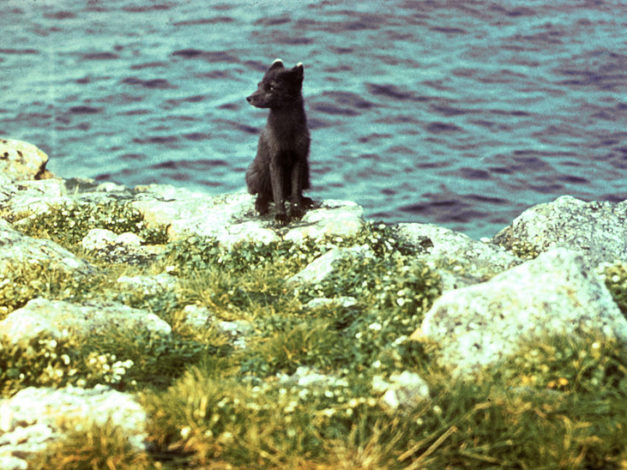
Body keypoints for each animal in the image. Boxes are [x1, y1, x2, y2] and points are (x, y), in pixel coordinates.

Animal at [245, 58, 313, 223]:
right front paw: (281, 216)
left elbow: (295, 191)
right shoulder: (275, 161)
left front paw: (296, 212)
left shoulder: (299, 159)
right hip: (256, 173)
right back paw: (260, 205)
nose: (248, 98)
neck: (287, 133)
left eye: (271, 87)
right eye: (259, 84)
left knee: (293, 192)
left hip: (306, 171)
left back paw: (306, 201)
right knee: (264, 193)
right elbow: (278, 194)